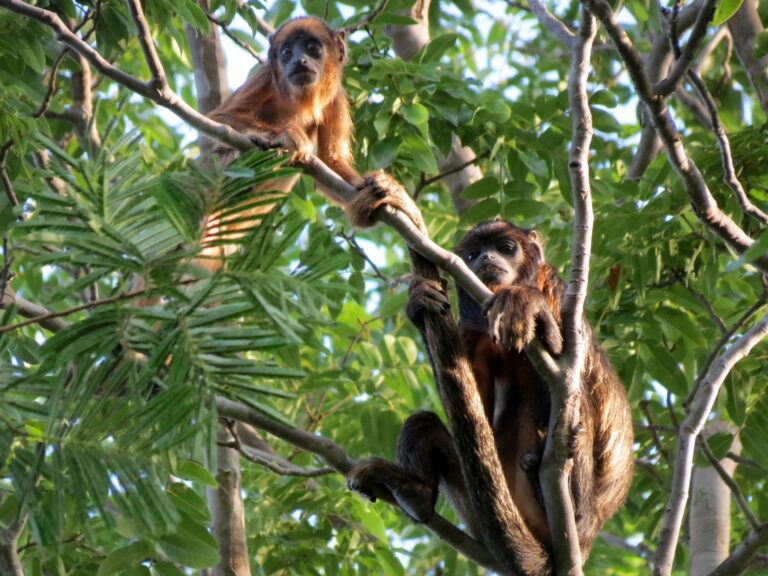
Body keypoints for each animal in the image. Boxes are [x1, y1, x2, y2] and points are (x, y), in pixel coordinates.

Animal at [344, 219, 632, 572]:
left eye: (506, 248)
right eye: (472, 253)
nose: (487, 258)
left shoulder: (556, 287)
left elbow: (570, 365)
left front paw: (525, 301)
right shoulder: (471, 329)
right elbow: (477, 405)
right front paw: (419, 303)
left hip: (578, 518)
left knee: (574, 407)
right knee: (422, 423)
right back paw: (415, 493)